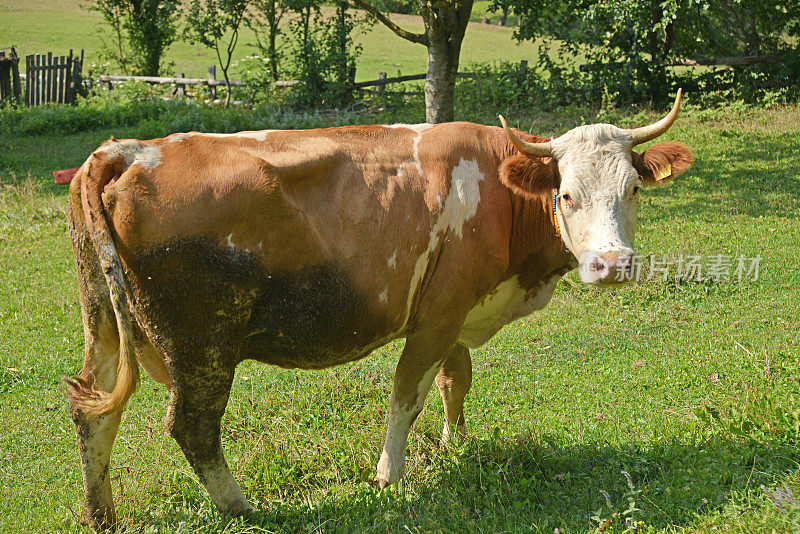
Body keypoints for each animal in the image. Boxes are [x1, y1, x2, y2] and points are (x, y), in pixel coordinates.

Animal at [65, 91, 692, 528]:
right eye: (566, 195)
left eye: (633, 190)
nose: (612, 263)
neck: (502, 194)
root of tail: (126, 150)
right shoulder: (437, 315)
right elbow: (407, 395)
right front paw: (391, 478)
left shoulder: (457, 311)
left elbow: (456, 380)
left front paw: (456, 444)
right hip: (204, 346)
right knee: (192, 426)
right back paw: (241, 507)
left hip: (106, 325)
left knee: (93, 411)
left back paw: (102, 514)